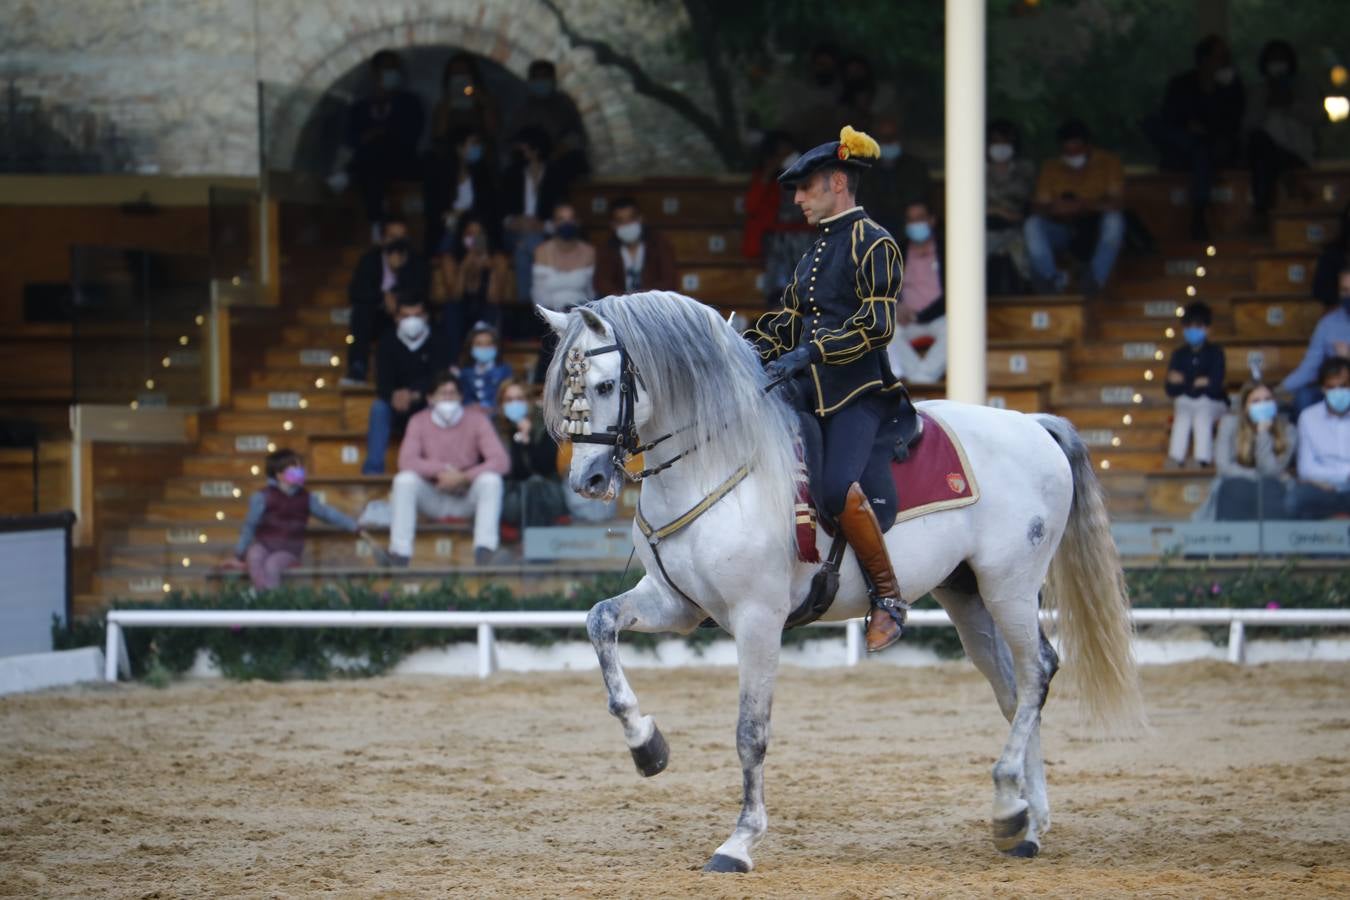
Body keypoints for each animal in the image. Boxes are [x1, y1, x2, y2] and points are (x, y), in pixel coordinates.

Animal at [534, 294, 1139, 874]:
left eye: (604, 385)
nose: (587, 480)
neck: (715, 463)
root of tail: (1034, 425)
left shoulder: (758, 618)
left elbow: (750, 731)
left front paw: (739, 842)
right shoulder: (675, 605)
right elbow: (599, 621)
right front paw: (647, 746)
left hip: (1009, 587)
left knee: (1038, 671)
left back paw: (1010, 806)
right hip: (968, 597)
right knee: (1015, 691)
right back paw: (1024, 822)